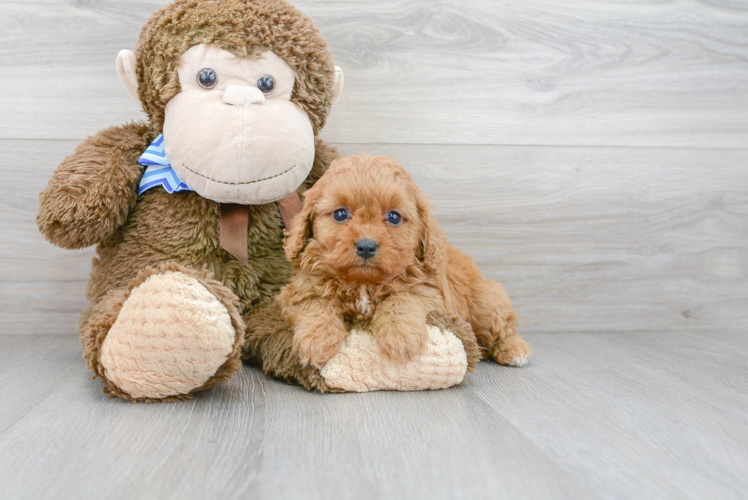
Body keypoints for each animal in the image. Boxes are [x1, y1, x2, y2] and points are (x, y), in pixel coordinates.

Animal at [280, 154, 532, 370]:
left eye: (394, 217)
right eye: (340, 214)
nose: (366, 246)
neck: (363, 283)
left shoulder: (429, 292)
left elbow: (401, 299)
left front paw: (400, 336)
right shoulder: (298, 292)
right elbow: (316, 305)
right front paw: (317, 340)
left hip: (486, 303)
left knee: (502, 327)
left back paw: (514, 350)